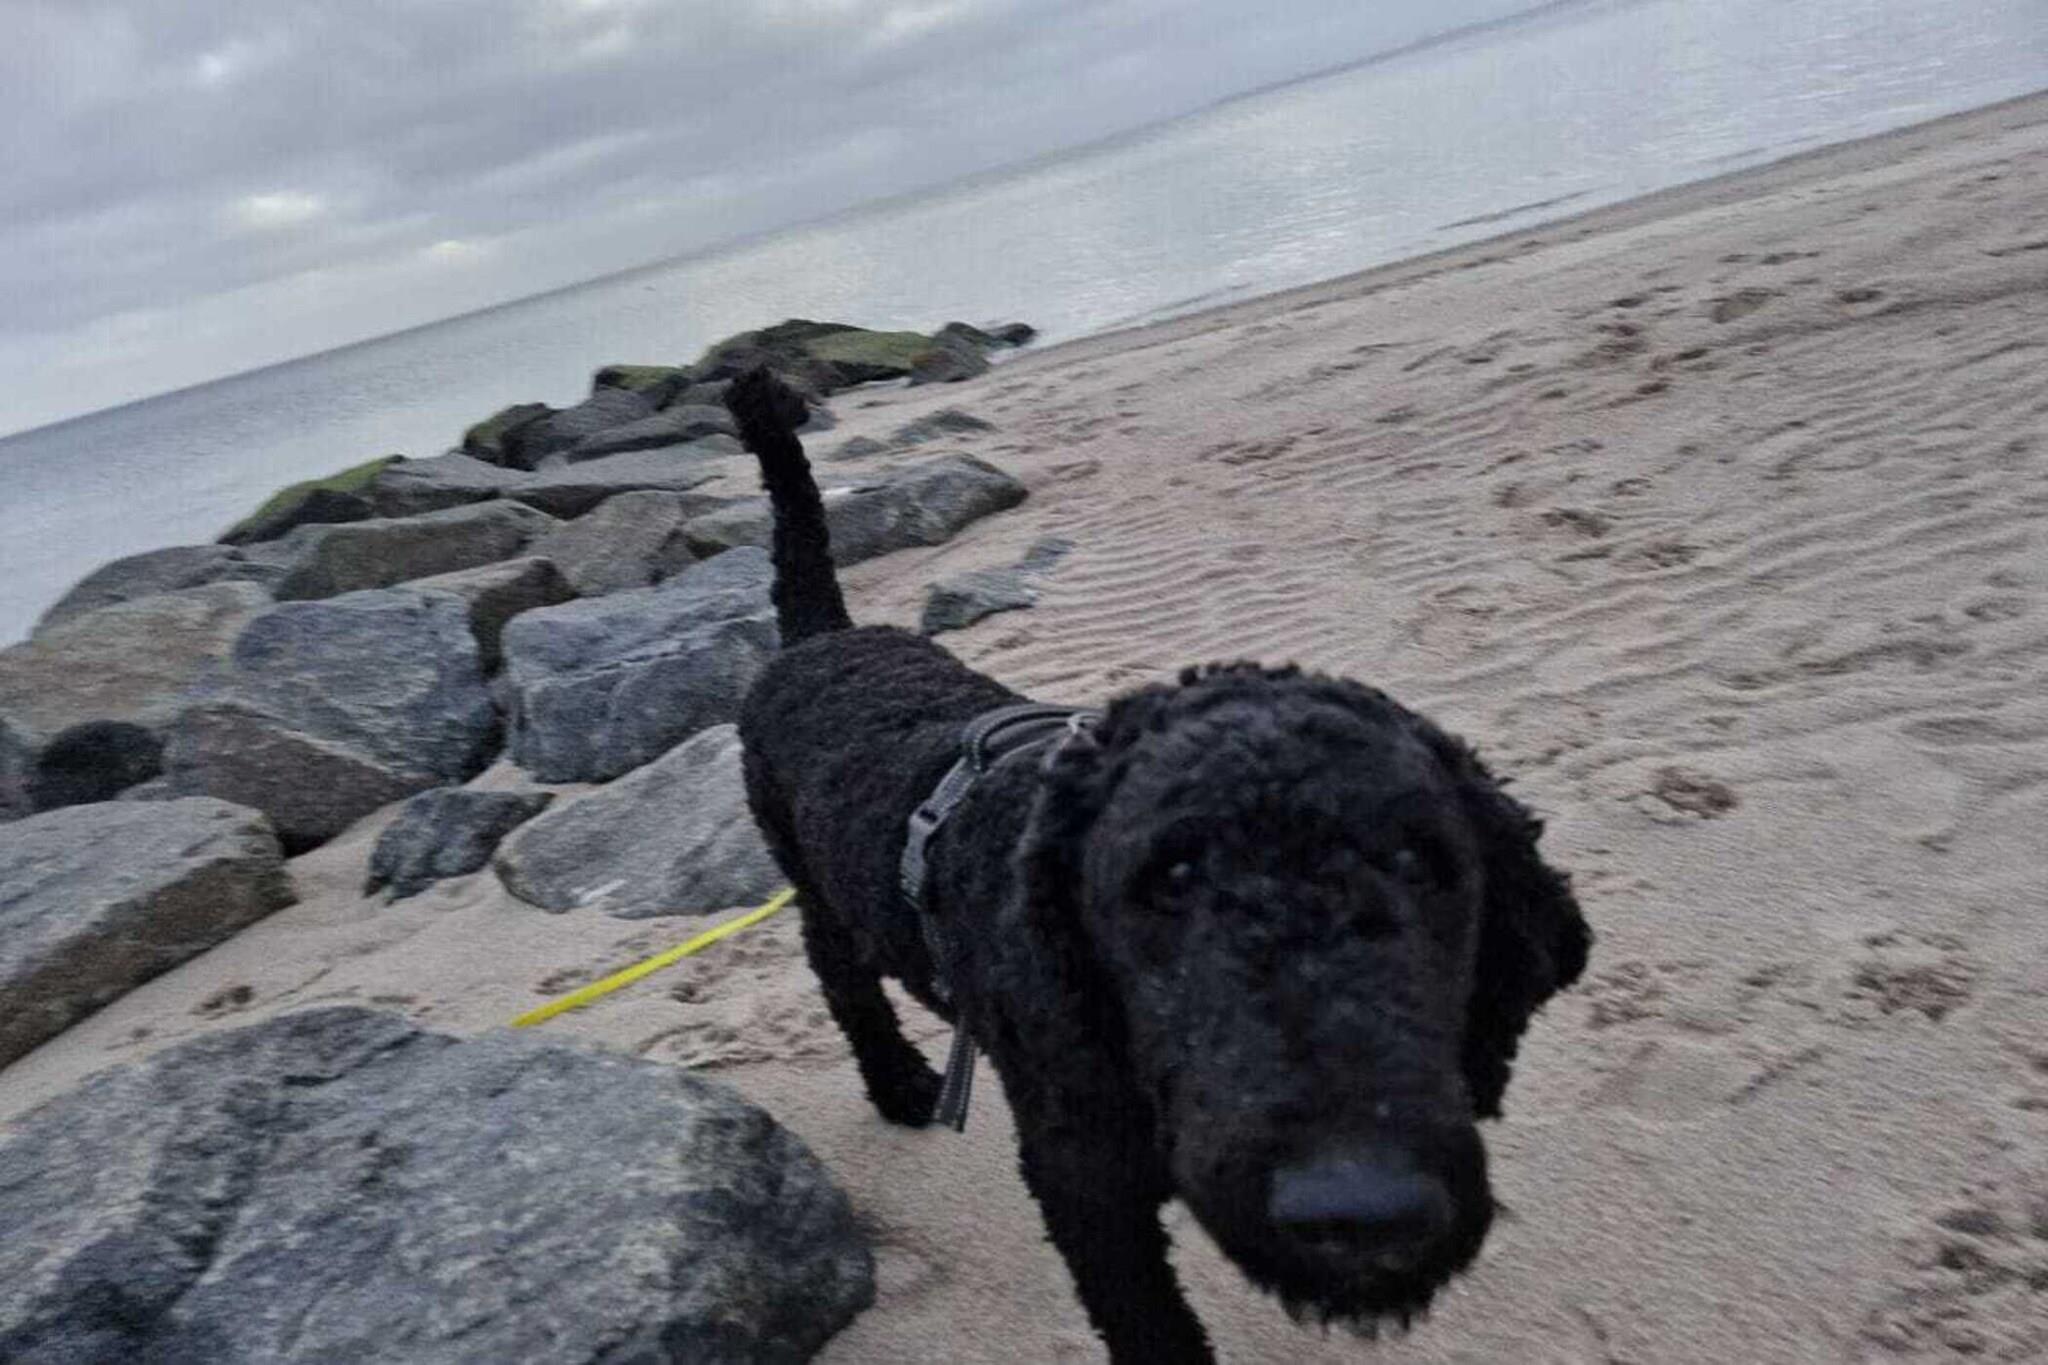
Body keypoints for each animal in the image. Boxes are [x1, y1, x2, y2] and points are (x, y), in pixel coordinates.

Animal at [726, 367, 1590, 1362]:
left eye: (1421, 859)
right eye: (1169, 878)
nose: (1361, 1208)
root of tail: (816, 638)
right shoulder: (1085, 1182)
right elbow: (1149, 1322)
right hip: (816, 891)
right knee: (843, 980)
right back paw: (901, 1083)